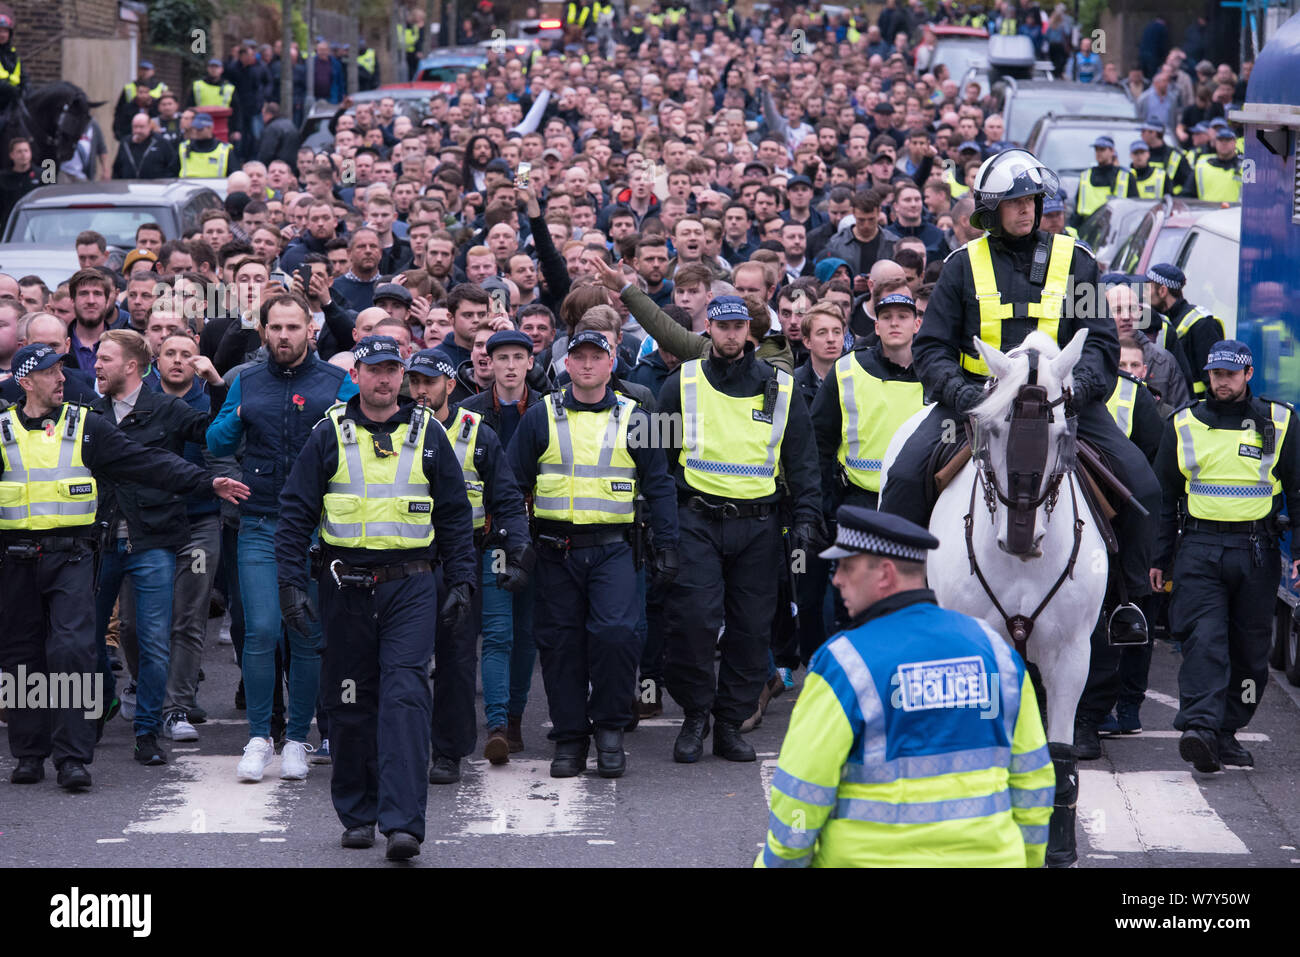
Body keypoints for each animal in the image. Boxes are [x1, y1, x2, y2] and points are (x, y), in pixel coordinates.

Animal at [878, 330, 1102, 868]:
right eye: (993, 429)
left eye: (1060, 434)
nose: (1020, 540)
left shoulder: (1070, 655)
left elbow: (1058, 760)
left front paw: (1057, 846)